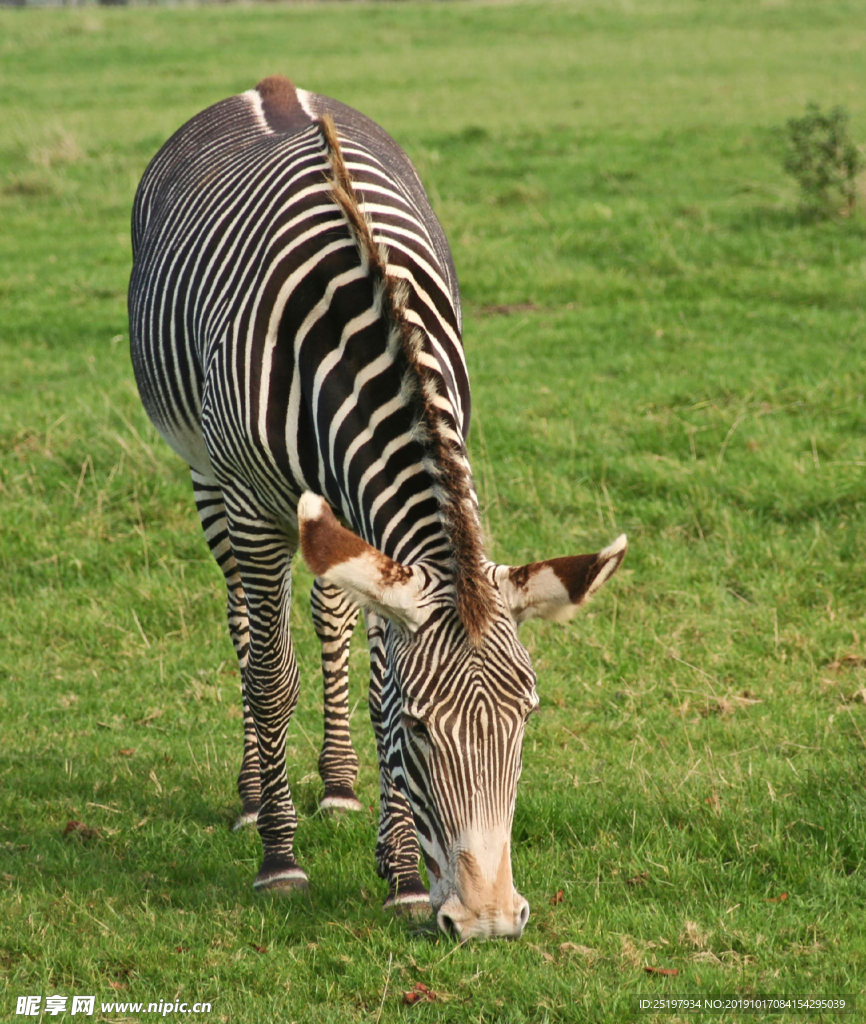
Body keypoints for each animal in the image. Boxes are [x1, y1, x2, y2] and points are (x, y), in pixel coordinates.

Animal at [128, 77, 626, 942]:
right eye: (421, 728)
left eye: (528, 718)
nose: (490, 921)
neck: (359, 338)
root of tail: (273, 86)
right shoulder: (254, 506)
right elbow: (272, 679)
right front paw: (280, 861)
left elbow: (371, 676)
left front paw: (397, 875)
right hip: (206, 474)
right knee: (243, 622)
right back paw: (254, 794)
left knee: (328, 613)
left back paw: (336, 783)